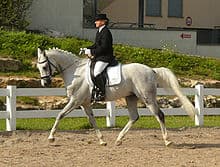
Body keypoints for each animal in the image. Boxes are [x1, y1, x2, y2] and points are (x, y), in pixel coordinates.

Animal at [36, 47, 196, 146]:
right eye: (38, 67)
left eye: (44, 66)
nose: (45, 83)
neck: (75, 72)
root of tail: (151, 70)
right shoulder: (85, 103)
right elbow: (92, 120)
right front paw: (102, 141)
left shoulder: (75, 101)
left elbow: (60, 115)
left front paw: (51, 137)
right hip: (131, 97)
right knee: (134, 117)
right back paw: (119, 139)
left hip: (147, 97)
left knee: (159, 115)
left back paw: (167, 140)